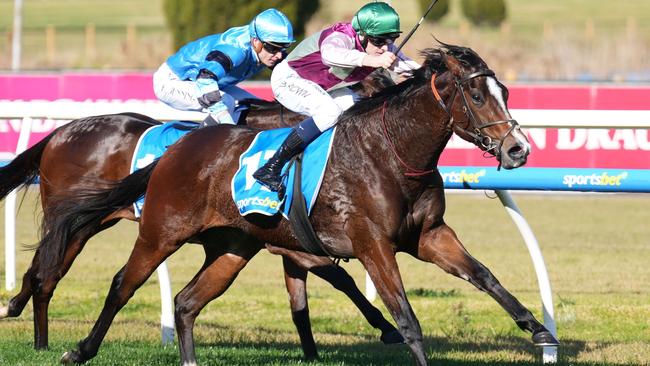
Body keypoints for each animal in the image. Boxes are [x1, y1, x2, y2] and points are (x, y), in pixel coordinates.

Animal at [0, 68, 400, 358]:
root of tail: (60, 132)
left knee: (42, 271)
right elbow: (338, 279)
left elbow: (303, 297)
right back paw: (36, 335)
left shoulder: (287, 238)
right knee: (46, 274)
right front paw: (388, 327)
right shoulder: (280, 241)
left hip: (84, 222)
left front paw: (315, 351)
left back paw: (26, 322)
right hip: (79, 224)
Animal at [40, 43, 556, 366]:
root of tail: (176, 149)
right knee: (122, 285)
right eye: (476, 94)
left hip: (233, 247)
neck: (391, 151)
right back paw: (77, 350)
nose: (518, 150)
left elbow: (484, 275)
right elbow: (405, 316)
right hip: (161, 231)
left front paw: (539, 330)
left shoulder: (429, 236)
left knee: (186, 302)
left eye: (506, 92)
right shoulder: (370, 243)